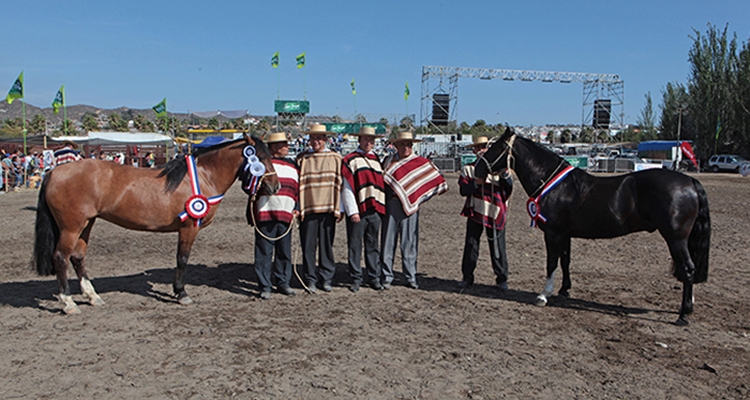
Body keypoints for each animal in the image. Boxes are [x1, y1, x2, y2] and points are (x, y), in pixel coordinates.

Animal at [32, 136, 280, 314]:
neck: (203, 176)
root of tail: (54, 172)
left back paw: (93, 297)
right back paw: (68, 303)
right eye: (259, 157)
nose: (275, 186)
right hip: (71, 228)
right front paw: (181, 294)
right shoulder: (188, 228)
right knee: (61, 258)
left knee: (77, 257)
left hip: (86, 224)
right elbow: (182, 259)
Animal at [476, 128, 712, 324]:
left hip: (676, 239)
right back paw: (688, 308)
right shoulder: (565, 234)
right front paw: (564, 290)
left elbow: (551, 263)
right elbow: (565, 261)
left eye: (496, 147)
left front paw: (544, 295)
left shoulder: (553, 234)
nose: (477, 169)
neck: (557, 185)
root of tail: (690, 181)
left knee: (688, 269)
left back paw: (683, 315)